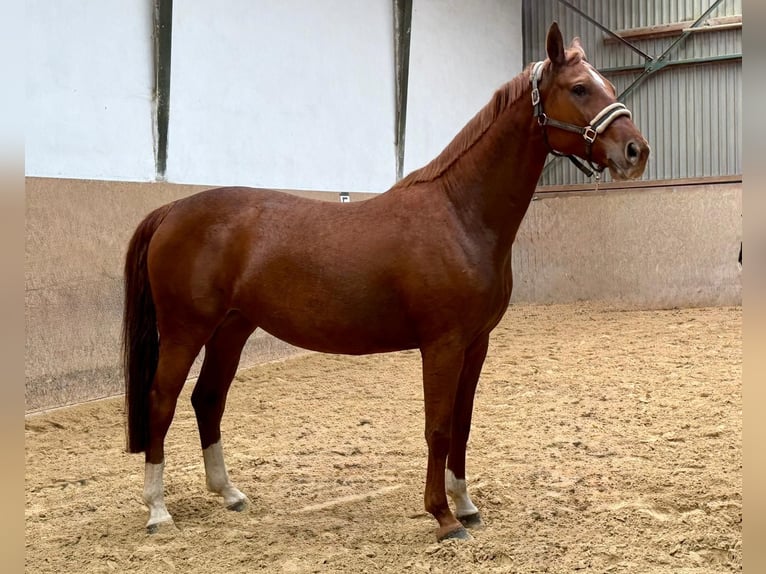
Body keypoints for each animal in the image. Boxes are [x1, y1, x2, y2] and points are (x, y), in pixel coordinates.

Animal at [123, 22, 649, 541]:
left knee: (207, 399)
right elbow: (438, 427)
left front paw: (466, 505)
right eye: (579, 88)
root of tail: (173, 209)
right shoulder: (442, 345)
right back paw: (157, 512)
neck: (458, 214)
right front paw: (443, 518)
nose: (636, 151)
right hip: (186, 331)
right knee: (162, 401)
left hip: (231, 329)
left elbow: (462, 424)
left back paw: (229, 494)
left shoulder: (476, 344)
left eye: (609, 87)